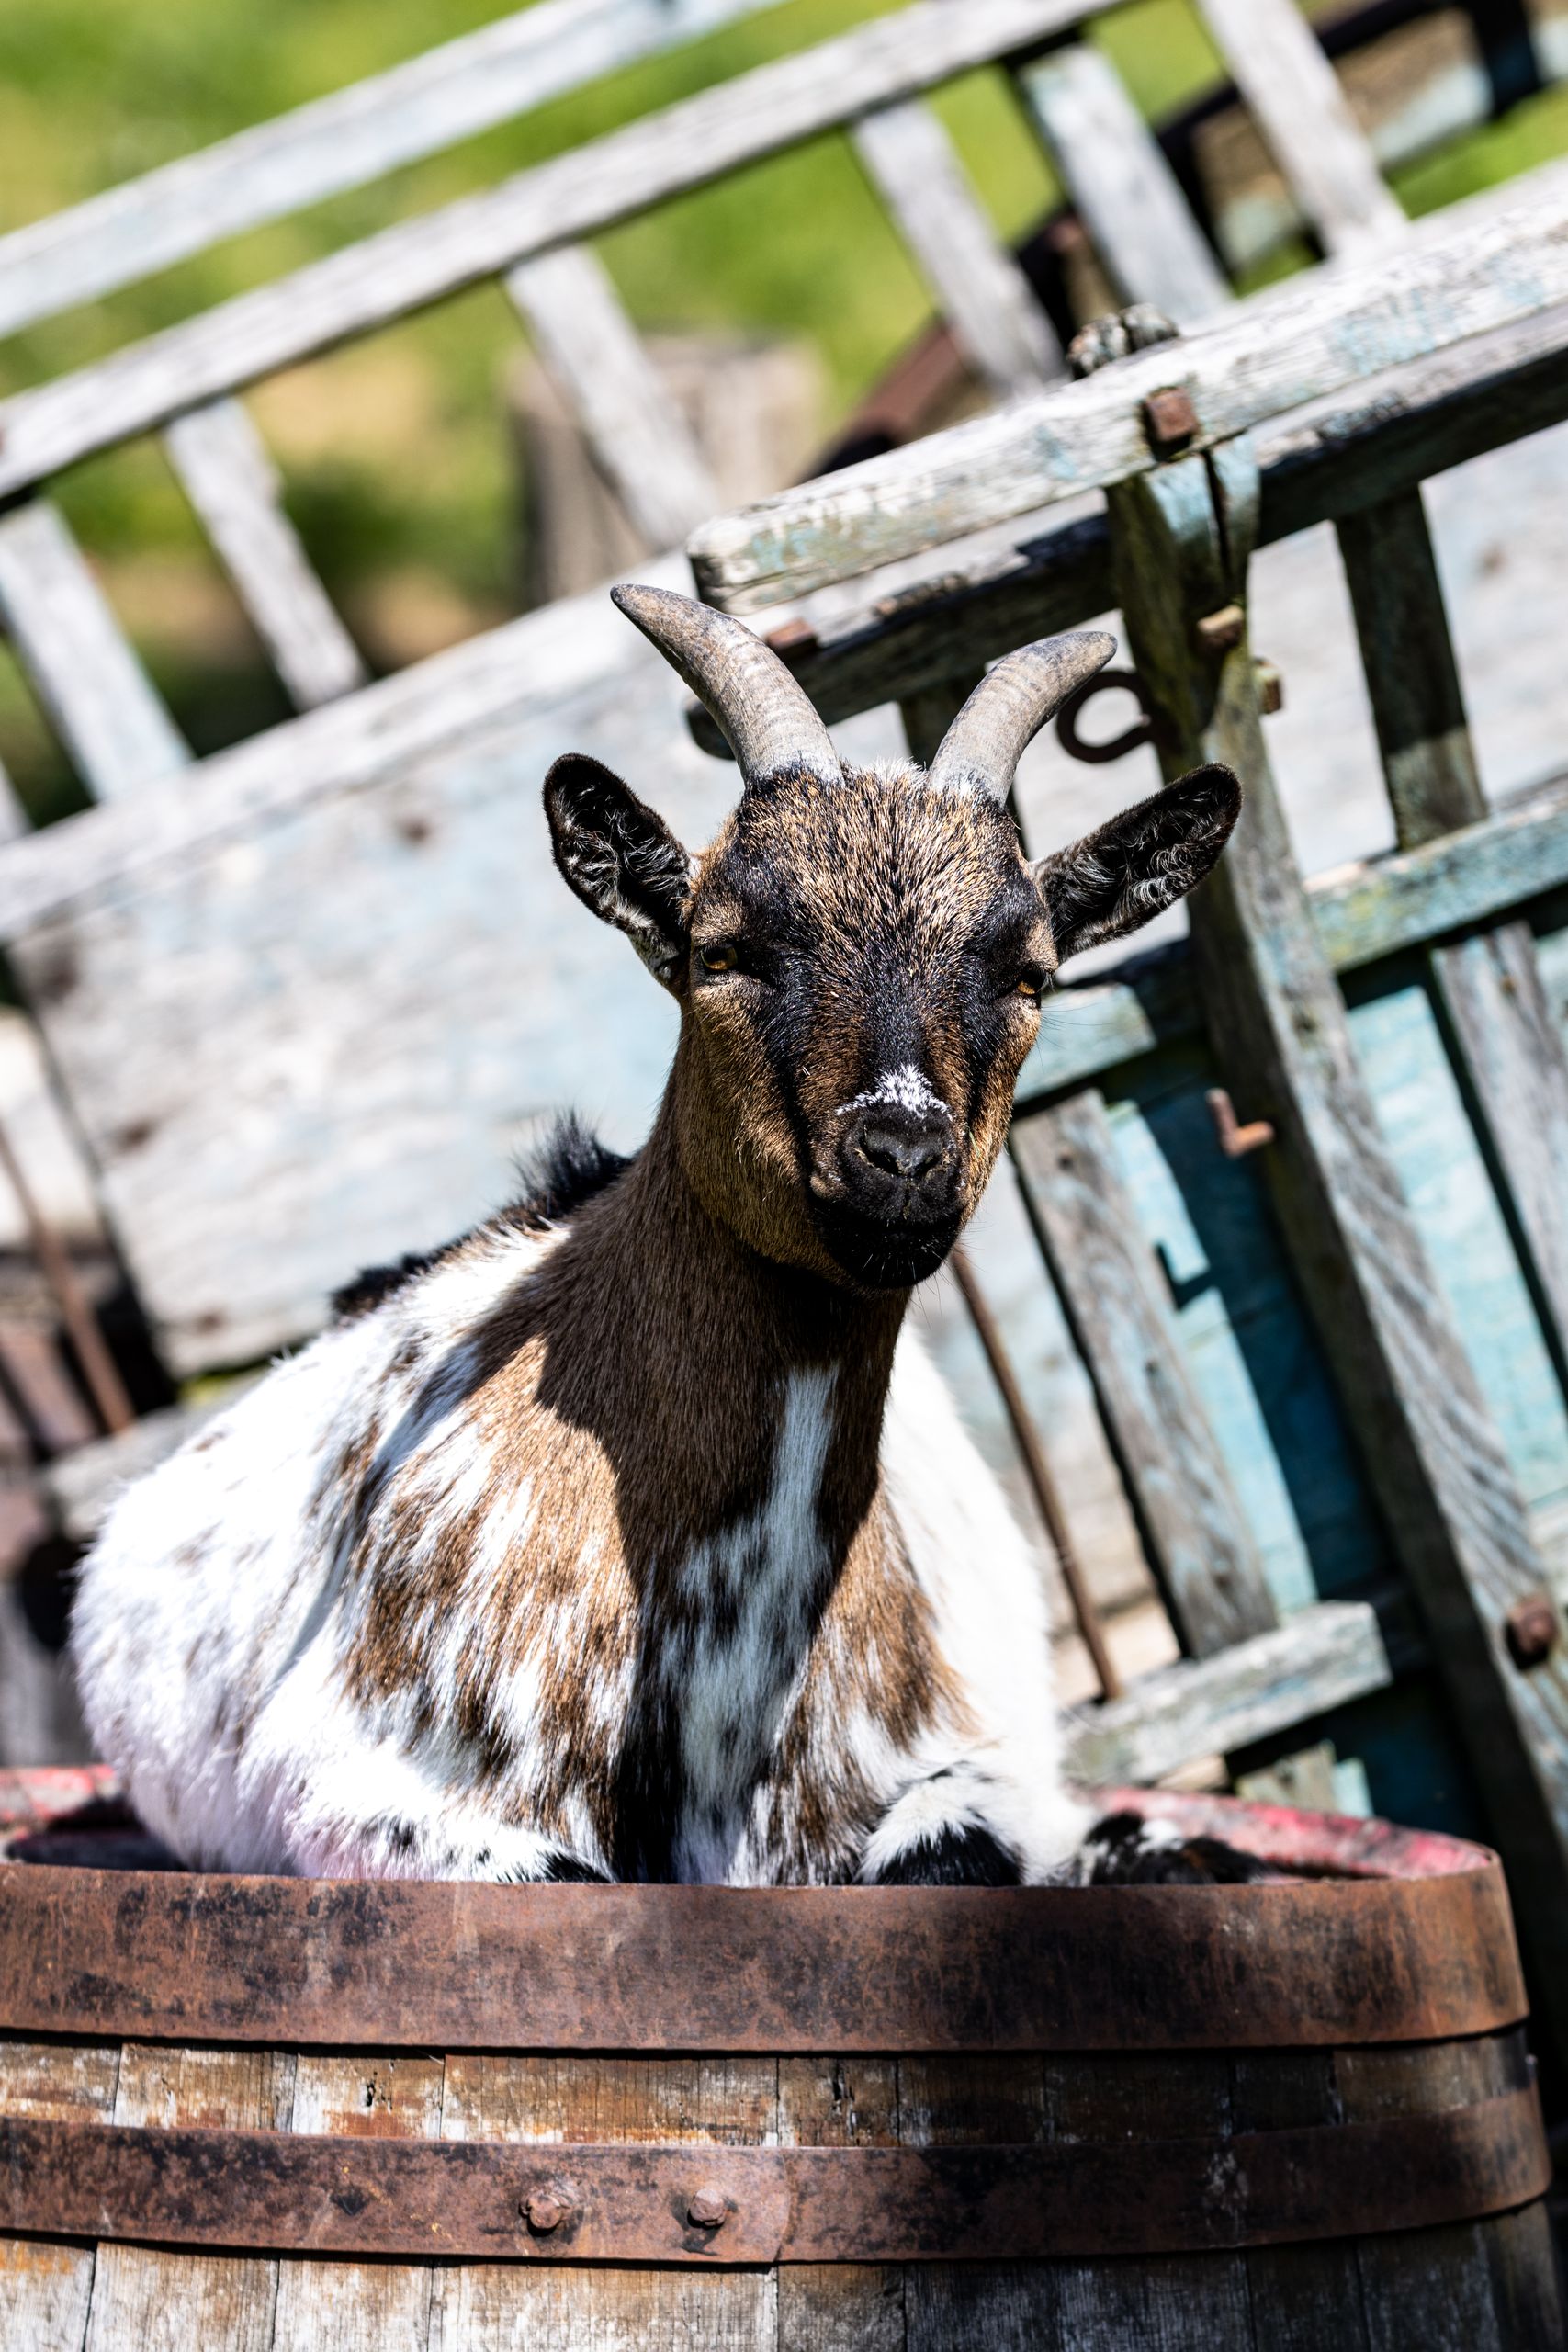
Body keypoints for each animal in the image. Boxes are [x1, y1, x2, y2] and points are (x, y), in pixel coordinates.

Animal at [72, 587, 1243, 1888]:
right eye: (725, 952)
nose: (900, 1151)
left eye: (1031, 975)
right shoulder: (355, 1786)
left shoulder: (959, 1763)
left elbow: (963, 1847)